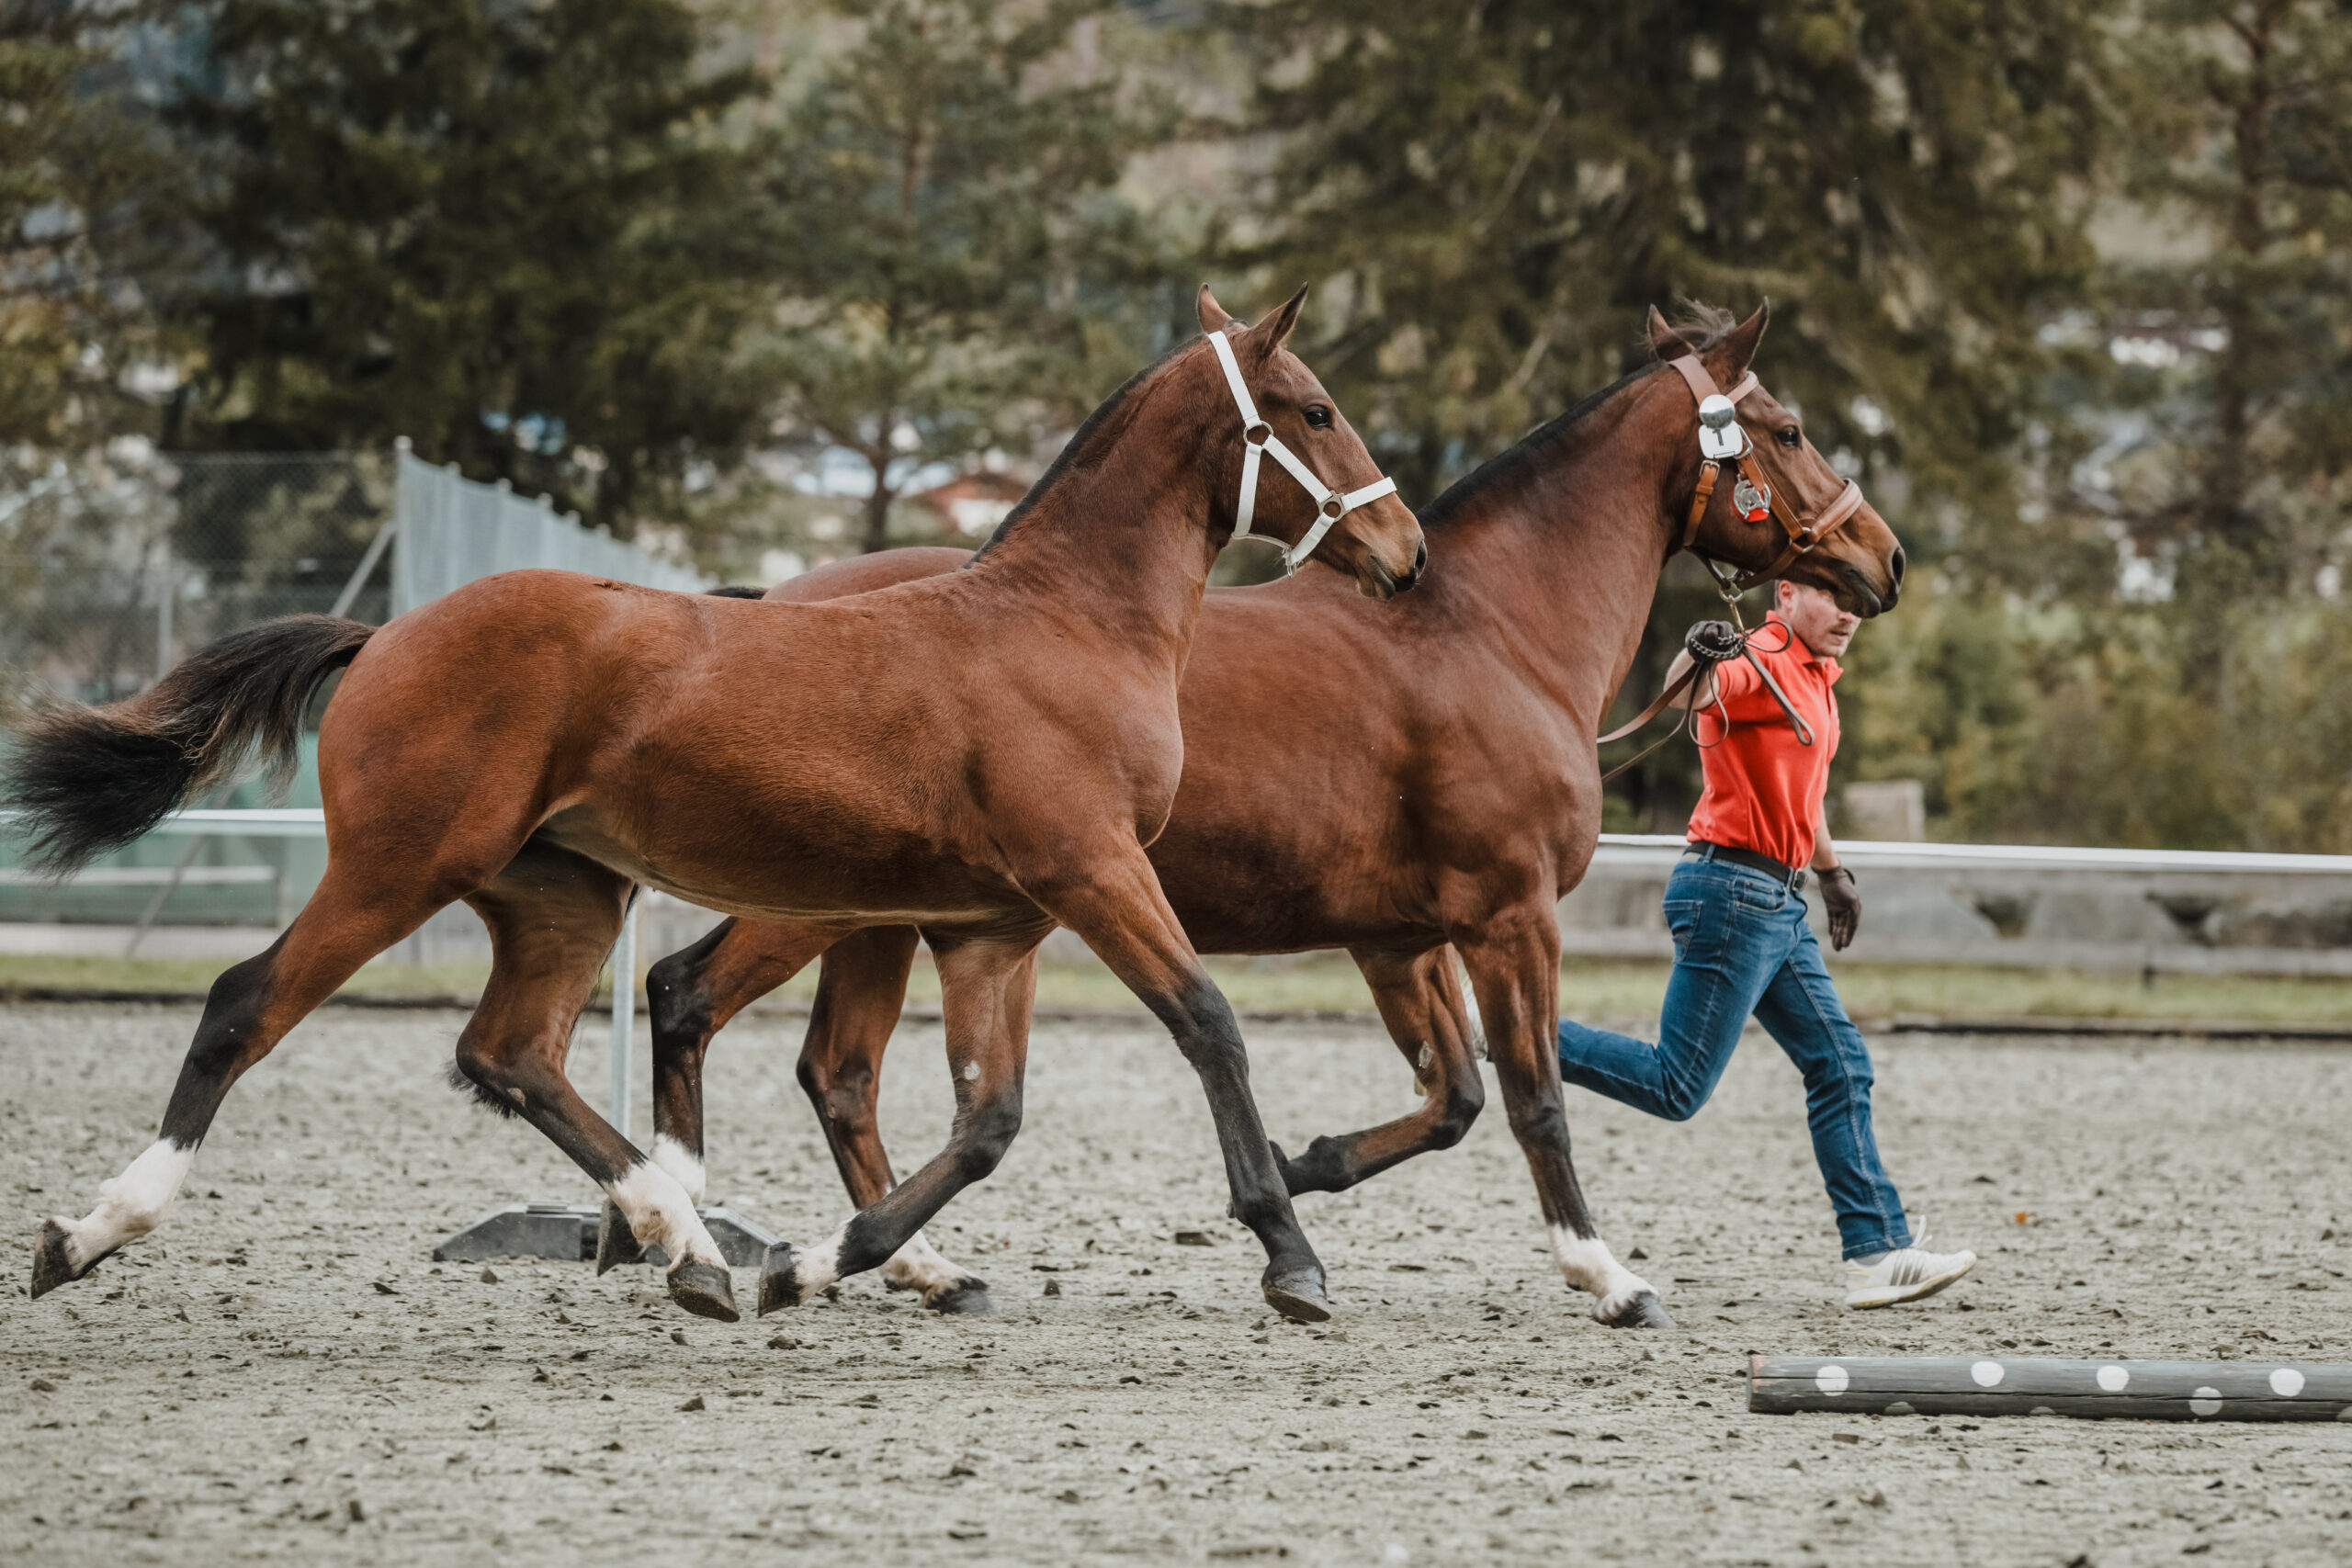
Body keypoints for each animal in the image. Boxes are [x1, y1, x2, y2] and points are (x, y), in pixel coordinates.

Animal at [5, 288, 1411, 1335]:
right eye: (1316, 410)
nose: (1402, 555)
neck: (1062, 624)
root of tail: (386, 634)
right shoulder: (1094, 873)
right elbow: (1207, 1025)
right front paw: (1290, 1255)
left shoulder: (991, 927)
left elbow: (987, 1121)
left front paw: (824, 1261)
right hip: (397, 870)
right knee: (248, 1004)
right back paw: (87, 1232)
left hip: (565, 897)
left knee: (512, 1054)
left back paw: (684, 1242)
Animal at [635, 293, 1900, 1325]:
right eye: (1789, 430)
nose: (1884, 559)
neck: (1491, 631)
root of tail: (770, 598)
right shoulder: (1509, 915)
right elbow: (1532, 1096)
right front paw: (1603, 1273)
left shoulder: (1398, 941)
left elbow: (1454, 1096)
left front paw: (1297, 1172)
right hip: (823, 901)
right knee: (693, 1000)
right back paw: (716, 1242)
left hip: (887, 921)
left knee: (835, 1071)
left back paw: (897, 1266)